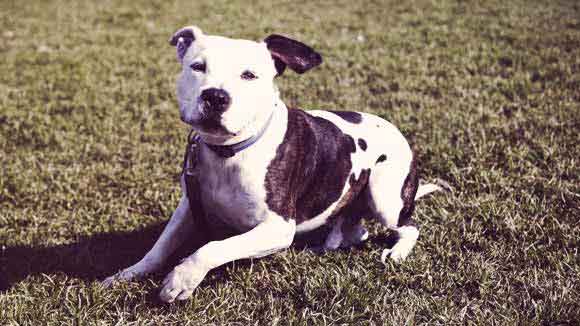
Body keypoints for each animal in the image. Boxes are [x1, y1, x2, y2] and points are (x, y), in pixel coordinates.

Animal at [103, 25, 440, 304]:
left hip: (386, 198)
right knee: (356, 233)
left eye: (249, 75)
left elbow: (212, 248)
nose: (215, 96)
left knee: (410, 226)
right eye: (197, 67)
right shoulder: (188, 205)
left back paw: (396, 252)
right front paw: (127, 274)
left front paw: (182, 279)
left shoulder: (277, 228)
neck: (230, 152)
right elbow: (160, 247)